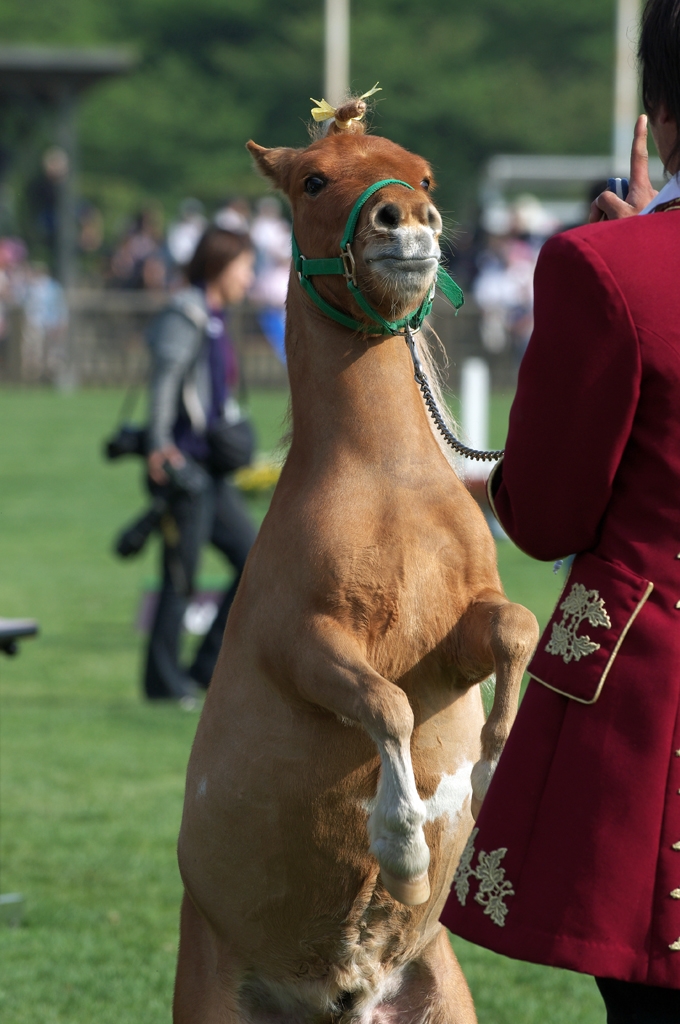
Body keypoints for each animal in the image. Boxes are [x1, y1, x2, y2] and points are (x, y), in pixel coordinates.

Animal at [178, 101, 540, 1024]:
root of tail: (337, 998)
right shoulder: (306, 647)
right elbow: (386, 705)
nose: (407, 222)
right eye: (313, 179)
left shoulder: (458, 636)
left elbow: (515, 631)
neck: (386, 488)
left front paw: (492, 770)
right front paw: (402, 847)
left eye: (423, 172)